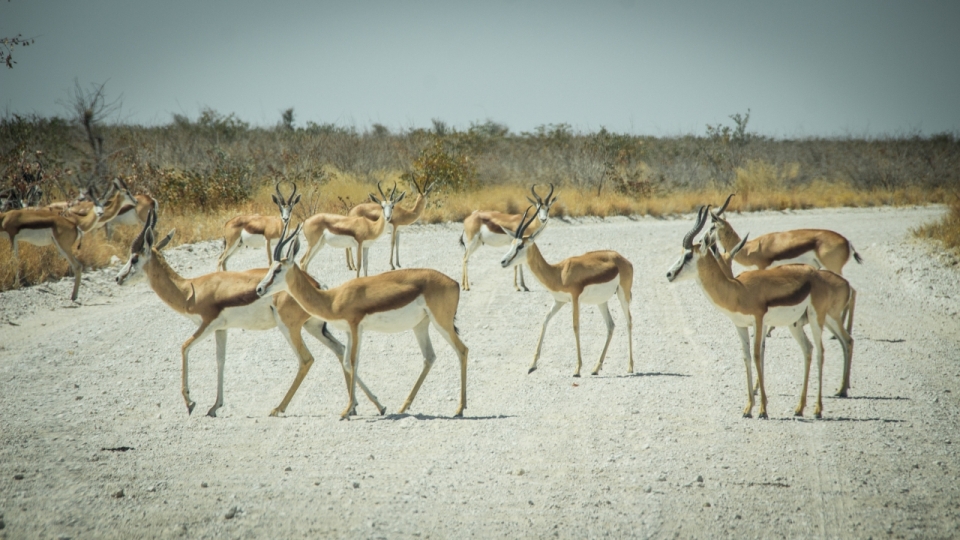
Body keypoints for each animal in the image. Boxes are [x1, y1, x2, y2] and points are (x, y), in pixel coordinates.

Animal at [118, 211, 388, 418]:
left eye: (134, 258)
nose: (118, 278)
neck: (190, 290)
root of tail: (317, 284)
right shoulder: (221, 329)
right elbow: (220, 360)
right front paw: (214, 406)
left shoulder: (207, 323)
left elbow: (184, 347)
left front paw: (191, 403)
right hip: (313, 327)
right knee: (341, 351)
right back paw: (371, 405)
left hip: (289, 327)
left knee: (306, 359)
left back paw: (279, 408)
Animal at [253, 221, 466, 420]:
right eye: (269, 268)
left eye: (278, 269)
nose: (259, 289)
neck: (332, 299)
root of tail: (454, 283)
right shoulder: (349, 331)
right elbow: (347, 362)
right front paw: (359, 407)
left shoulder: (356, 327)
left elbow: (354, 362)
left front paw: (347, 410)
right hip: (420, 325)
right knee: (429, 357)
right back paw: (403, 407)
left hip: (442, 323)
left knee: (462, 350)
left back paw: (460, 409)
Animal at [498, 206, 632, 376]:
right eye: (512, 243)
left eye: (520, 246)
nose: (503, 261)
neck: (559, 273)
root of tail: (624, 260)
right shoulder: (559, 301)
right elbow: (545, 320)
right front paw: (532, 365)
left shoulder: (574, 299)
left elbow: (575, 326)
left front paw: (577, 369)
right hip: (601, 301)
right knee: (611, 325)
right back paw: (596, 368)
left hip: (623, 295)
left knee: (629, 322)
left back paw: (630, 367)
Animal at [668, 207, 856, 418]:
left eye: (688, 256)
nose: (669, 274)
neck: (738, 290)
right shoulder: (740, 325)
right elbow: (747, 357)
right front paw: (748, 408)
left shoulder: (758, 322)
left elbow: (758, 355)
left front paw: (763, 410)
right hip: (799, 324)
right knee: (814, 348)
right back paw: (801, 407)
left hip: (818, 319)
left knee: (822, 351)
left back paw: (819, 408)